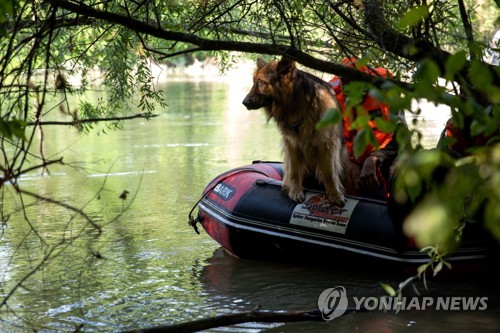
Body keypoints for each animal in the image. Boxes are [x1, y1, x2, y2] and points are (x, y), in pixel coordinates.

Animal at [244, 57, 346, 205]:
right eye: (254, 82)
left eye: (261, 82)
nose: (244, 102)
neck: (299, 105)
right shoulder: (291, 142)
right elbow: (294, 171)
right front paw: (295, 191)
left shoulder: (327, 143)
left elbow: (329, 172)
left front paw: (335, 194)